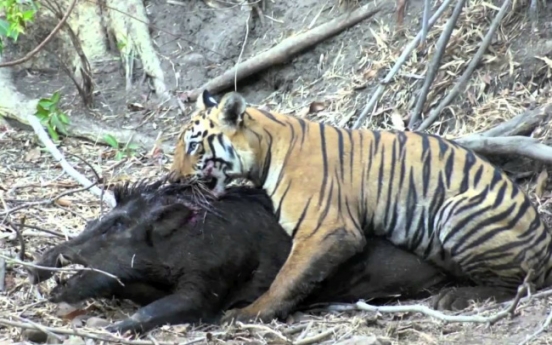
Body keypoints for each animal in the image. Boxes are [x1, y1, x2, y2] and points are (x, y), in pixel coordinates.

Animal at [170, 88, 552, 322]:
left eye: (193, 146)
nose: (173, 179)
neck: (265, 148)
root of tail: (545, 246)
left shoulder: (327, 229)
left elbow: (287, 278)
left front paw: (251, 314)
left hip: (456, 213)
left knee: (518, 285)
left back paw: (455, 298)